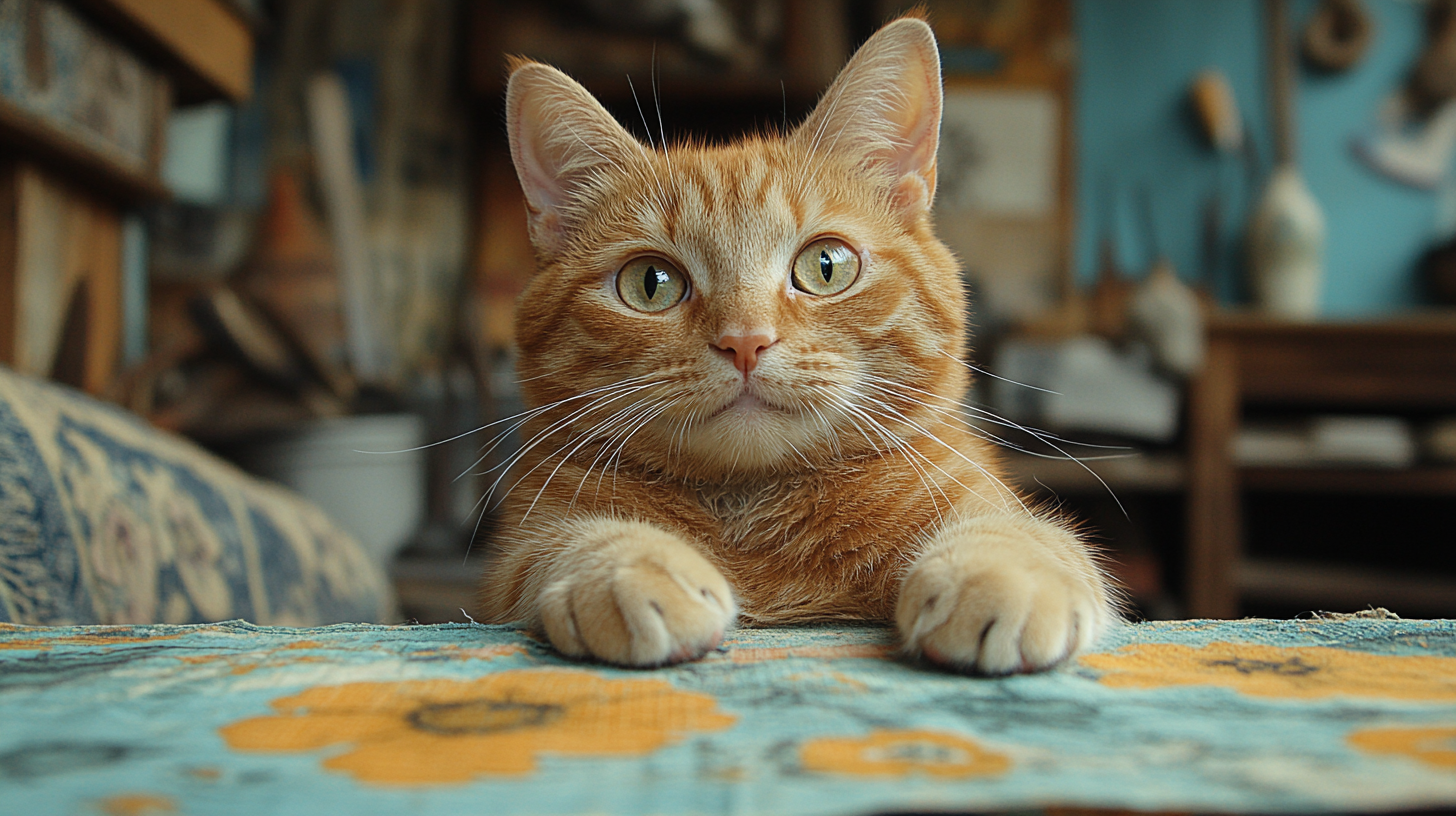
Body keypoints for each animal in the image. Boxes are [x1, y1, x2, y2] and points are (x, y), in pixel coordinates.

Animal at [477, 17, 1112, 676]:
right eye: (650, 283)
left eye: (825, 266)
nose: (744, 341)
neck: (755, 513)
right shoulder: (518, 554)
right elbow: (565, 540)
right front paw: (628, 565)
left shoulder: (993, 502)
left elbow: (1020, 533)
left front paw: (998, 577)